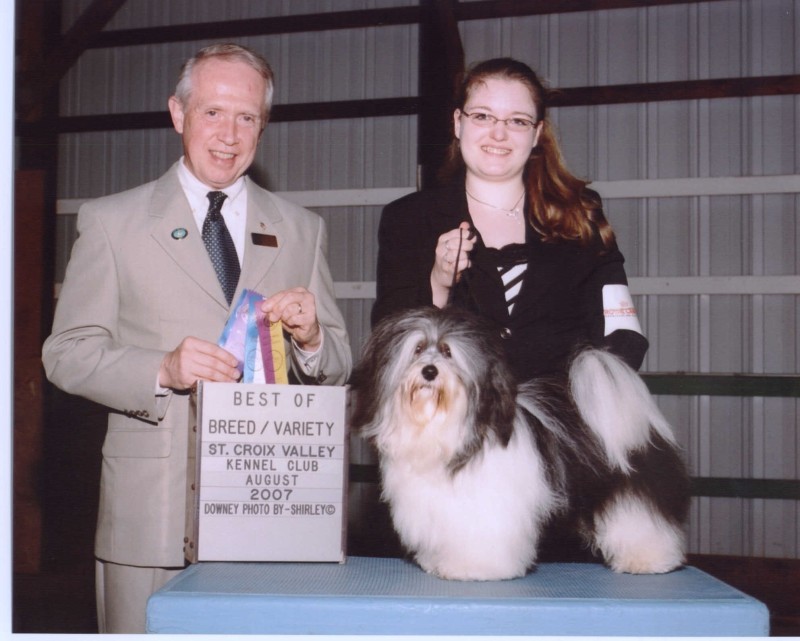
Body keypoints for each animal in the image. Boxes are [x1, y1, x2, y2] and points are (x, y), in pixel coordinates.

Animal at [350, 304, 688, 580]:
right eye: (418, 348)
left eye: (447, 352)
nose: (429, 371)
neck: (441, 425)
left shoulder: (487, 508)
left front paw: (472, 568)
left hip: (629, 490)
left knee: (641, 520)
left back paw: (648, 559)